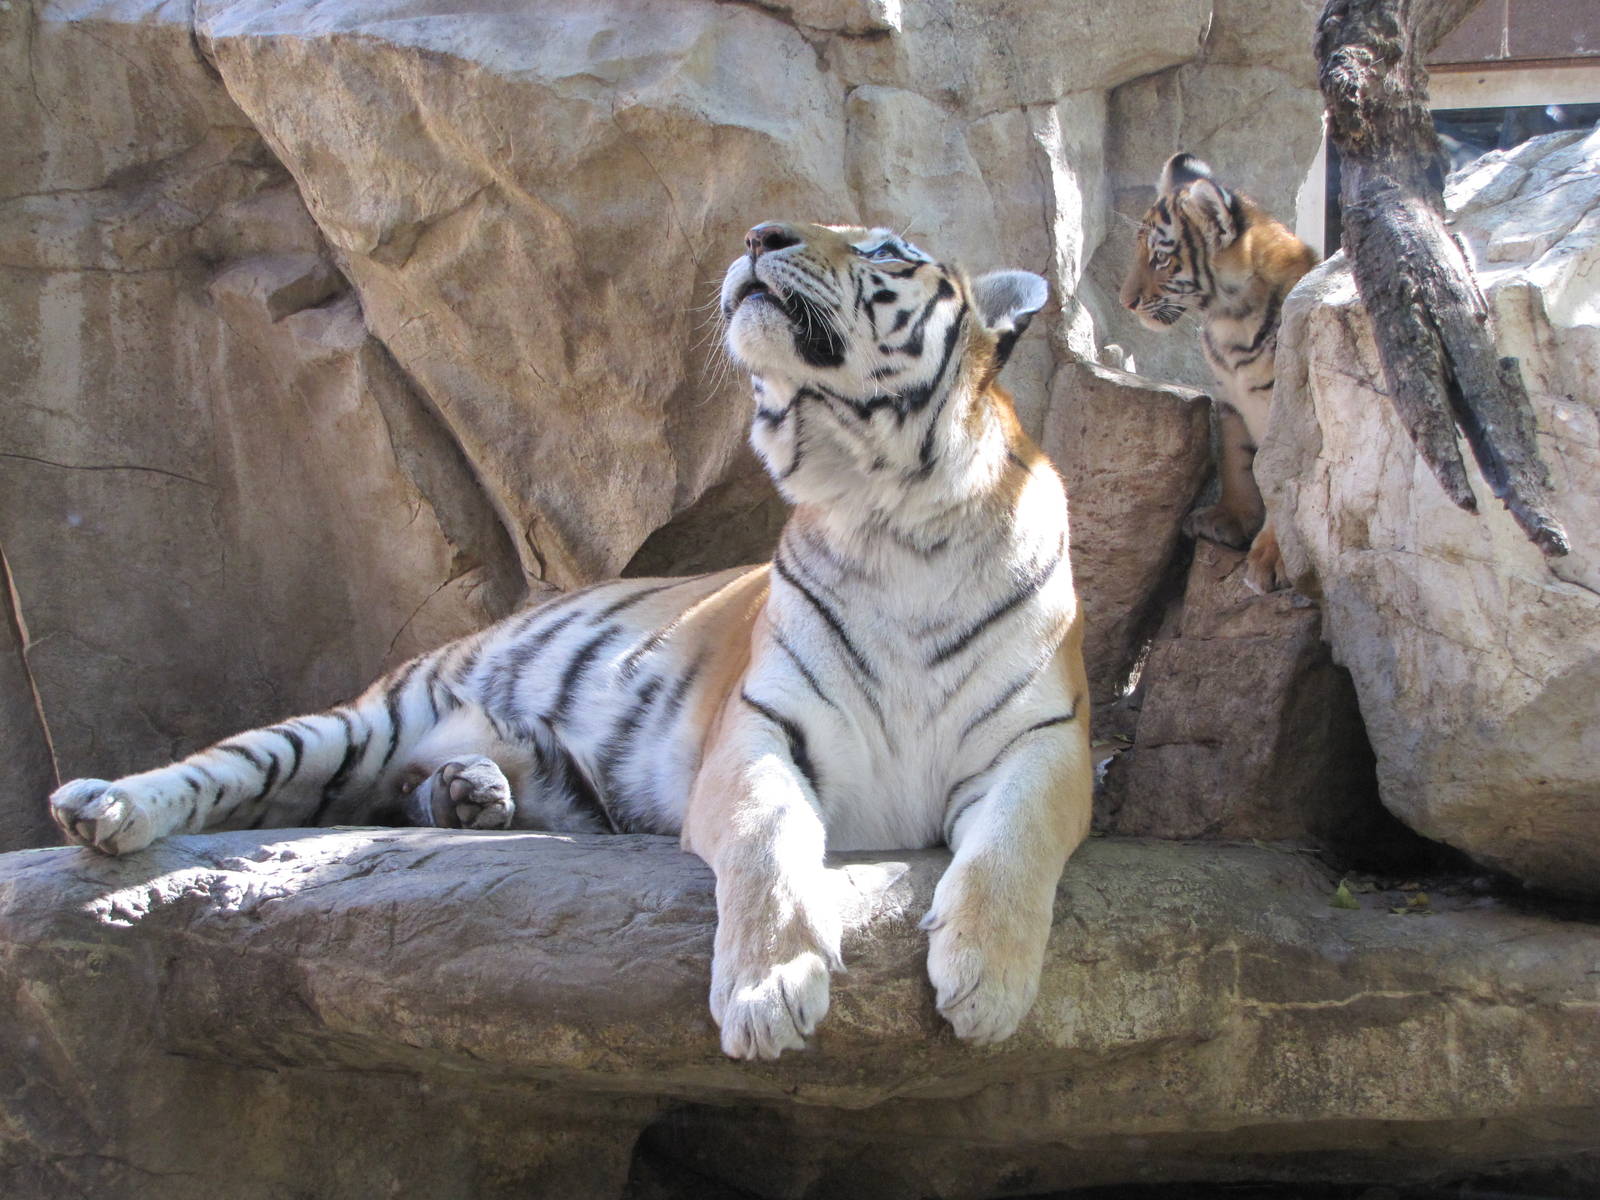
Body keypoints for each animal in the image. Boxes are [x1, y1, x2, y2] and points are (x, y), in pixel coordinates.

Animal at [49, 220, 1093, 1061]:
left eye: (885, 249)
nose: (760, 233)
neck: (886, 508)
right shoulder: (757, 735)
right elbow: (767, 845)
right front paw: (768, 995)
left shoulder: (1048, 744)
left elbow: (1012, 846)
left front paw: (987, 988)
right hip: (363, 720)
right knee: (223, 769)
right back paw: (104, 807)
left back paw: (469, 791)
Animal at [1119, 152, 1318, 594]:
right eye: (1137, 250)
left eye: (1160, 258)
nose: (1126, 302)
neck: (1231, 320)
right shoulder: (1230, 399)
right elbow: (1237, 462)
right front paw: (1228, 518)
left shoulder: (1286, 409)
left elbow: (1277, 481)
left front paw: (1269, 558)